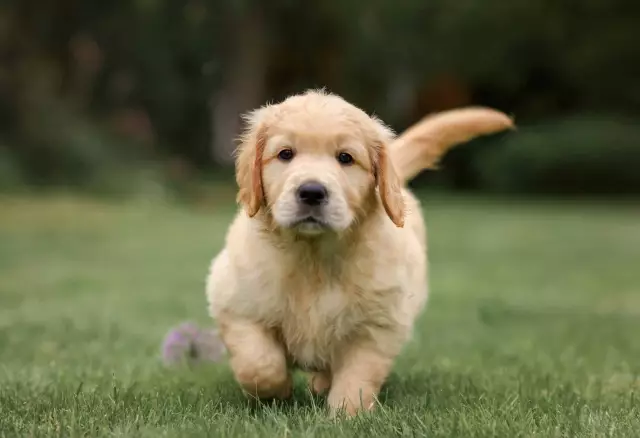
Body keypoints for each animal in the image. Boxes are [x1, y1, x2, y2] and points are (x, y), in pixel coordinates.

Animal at [206, 88, 516, 414]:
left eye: (346, 158)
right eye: (285, 154)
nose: (312, 192)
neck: (313, 255)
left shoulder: (378, 324)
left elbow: (359, 373)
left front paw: (345, 413)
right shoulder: (236, 301)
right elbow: (258, 363)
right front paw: (275, 392)